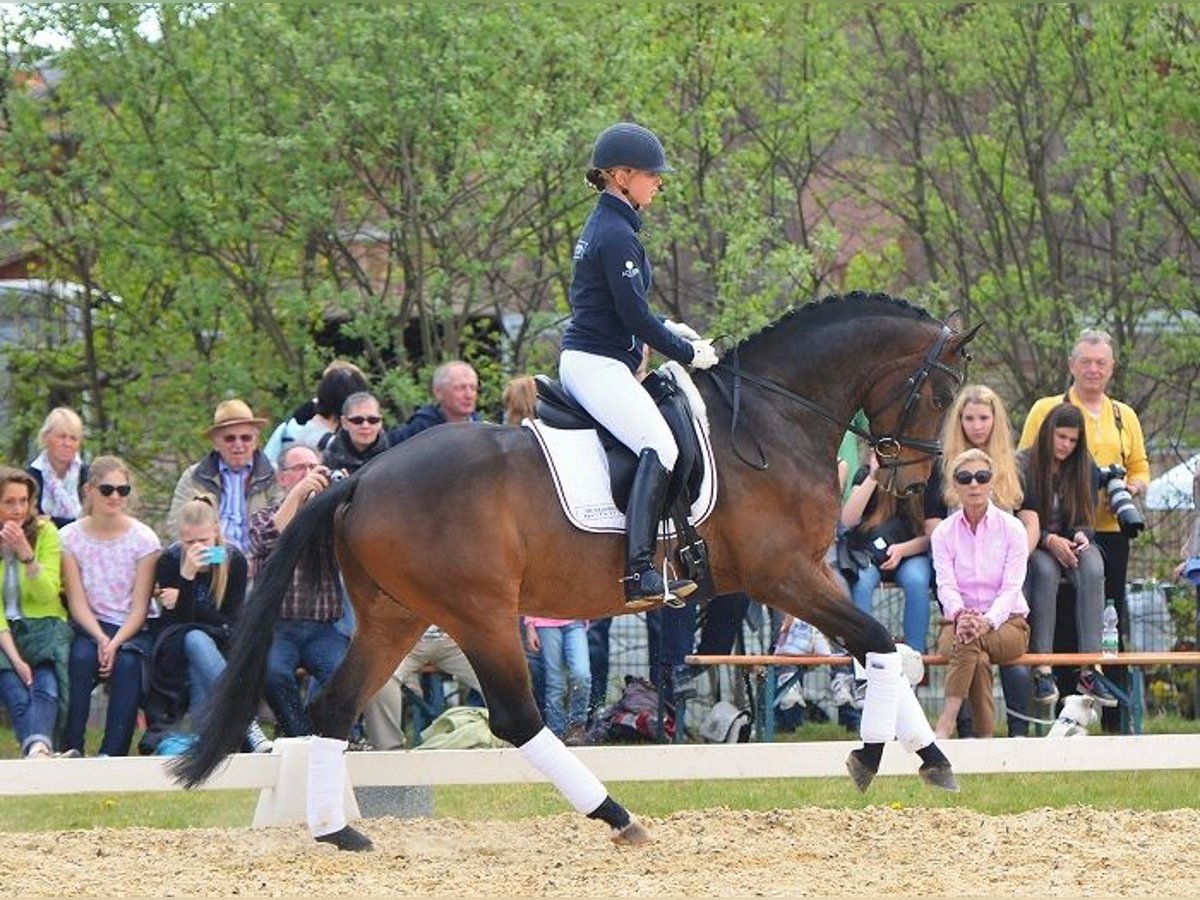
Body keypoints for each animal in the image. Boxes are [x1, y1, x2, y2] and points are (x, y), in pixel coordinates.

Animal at [174, 290, 979, 854]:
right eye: (942, 393)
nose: (916, 486)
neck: (771, 419)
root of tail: (362, 478)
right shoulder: (781, 575)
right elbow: (876, 642)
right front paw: (871, 756)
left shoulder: (805, 574)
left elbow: (883, 651)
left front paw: (930, 758)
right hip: (480, 614)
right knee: (518, 717)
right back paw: (617, 817)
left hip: (394, 615)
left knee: (334, 708)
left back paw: (337, 832)